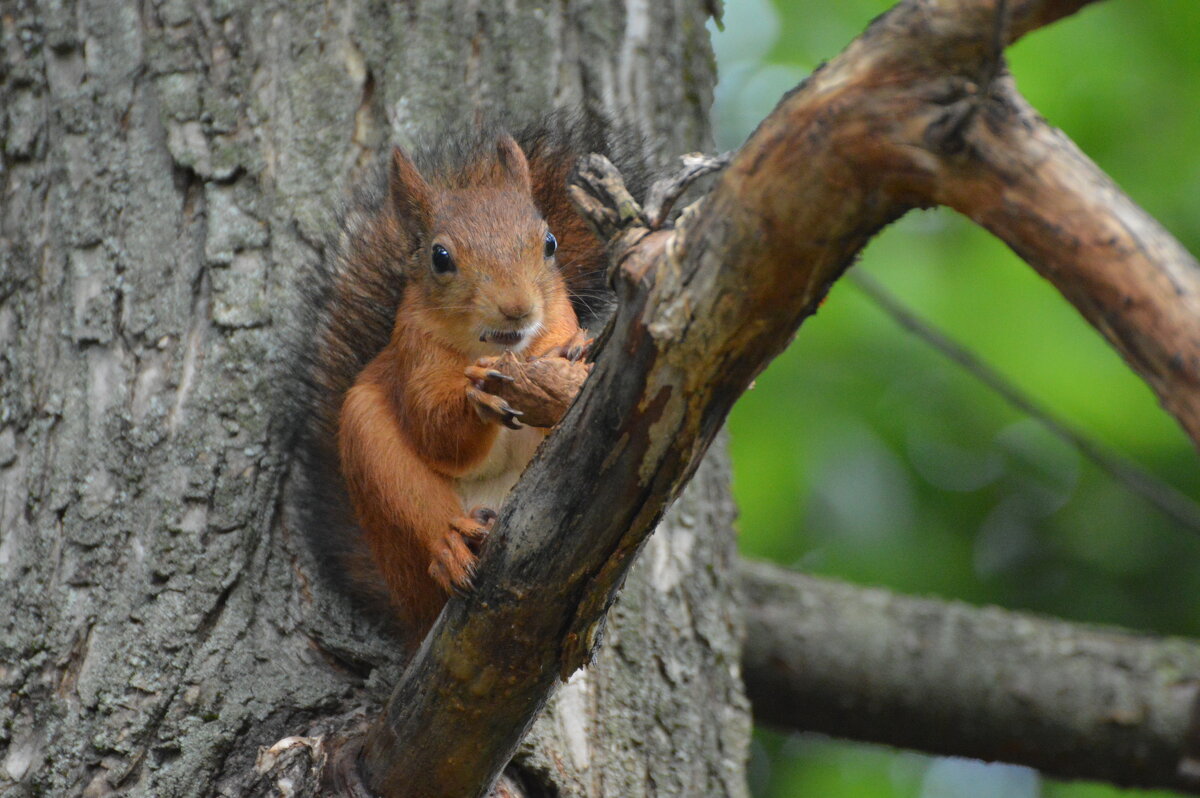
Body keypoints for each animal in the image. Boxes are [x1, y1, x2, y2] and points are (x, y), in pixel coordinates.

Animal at [292, 113, 648, 648]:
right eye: (440, 257)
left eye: (549, 243)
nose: (517, 308)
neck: (499, 350)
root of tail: (412, 618)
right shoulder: (413, 358)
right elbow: (434, 432)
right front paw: (475, 396)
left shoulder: (557, 323)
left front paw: (571, 359)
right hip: (371, 452)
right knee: (419, 510)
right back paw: (451, 549)